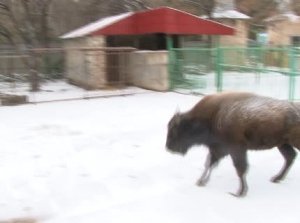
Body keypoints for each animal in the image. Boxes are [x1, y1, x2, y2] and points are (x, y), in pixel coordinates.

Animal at [165, 91, 300, 196]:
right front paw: (201, 181)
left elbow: (240, 168)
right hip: (282, 144)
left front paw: (240, 192)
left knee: (290, 157)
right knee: (290, 157)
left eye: (175, 130)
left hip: (290, 143)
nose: (169, 147)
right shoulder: (218, 149)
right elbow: (209, 164)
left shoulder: (236, 149)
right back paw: (276, 178)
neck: (213, 115)